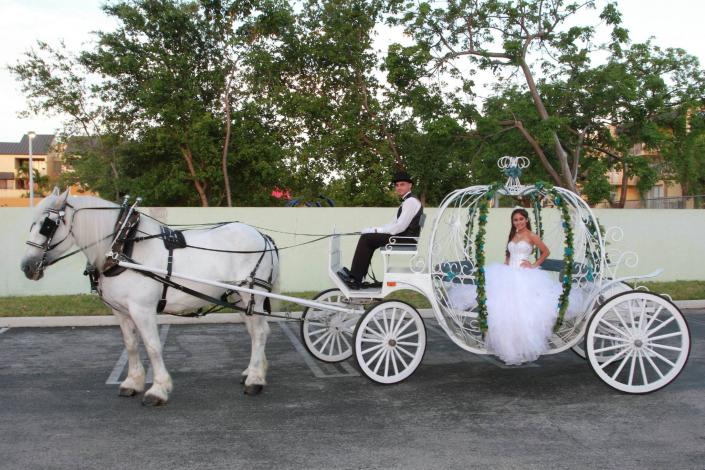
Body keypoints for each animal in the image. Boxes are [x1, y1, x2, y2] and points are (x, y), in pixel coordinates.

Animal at [20, 189, 278, 406]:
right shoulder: (120, 311)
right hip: (238, 298)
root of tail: (263, 236)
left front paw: (158, 389)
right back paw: (254, 371)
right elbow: (131, 344)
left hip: (250, 295)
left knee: (260, 333)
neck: (122, 246)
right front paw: (132, 382)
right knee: (255, 331)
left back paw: (255, 380)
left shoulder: (142, 309)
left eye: (47, 225)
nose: (26, 266)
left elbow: (153, 346)